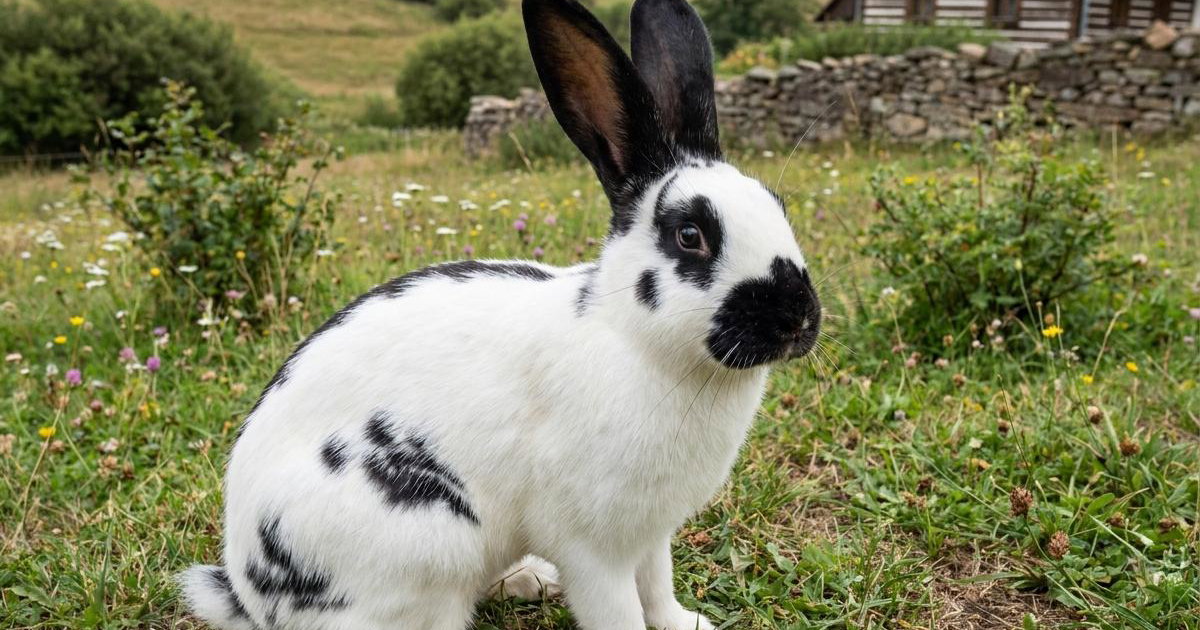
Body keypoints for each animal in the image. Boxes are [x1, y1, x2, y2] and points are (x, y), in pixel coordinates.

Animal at [178, 0, 821, 628]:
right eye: (690, 235)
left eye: (779, 206)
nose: (798, 320)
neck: (638, 343)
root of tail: (248, 592)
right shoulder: (595, 546)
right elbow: (619, 608)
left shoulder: (650, 532)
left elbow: (658, 588)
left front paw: (686, 623)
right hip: (426, 545)